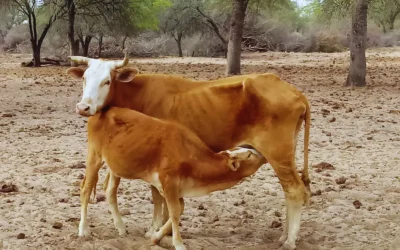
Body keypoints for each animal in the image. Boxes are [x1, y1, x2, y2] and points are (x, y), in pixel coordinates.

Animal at [79, 107, 268, 250]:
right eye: (249, 155)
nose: (261, 153)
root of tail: (100, 112)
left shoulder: (177, 188)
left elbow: (179, 210)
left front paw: (156, 236)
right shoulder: (168, 182)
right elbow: (175, 212)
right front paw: (178, 244)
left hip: (115, 166)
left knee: (110, 191)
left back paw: (120, 227)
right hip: (94, 156)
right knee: (85, 190)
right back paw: (83, 230)